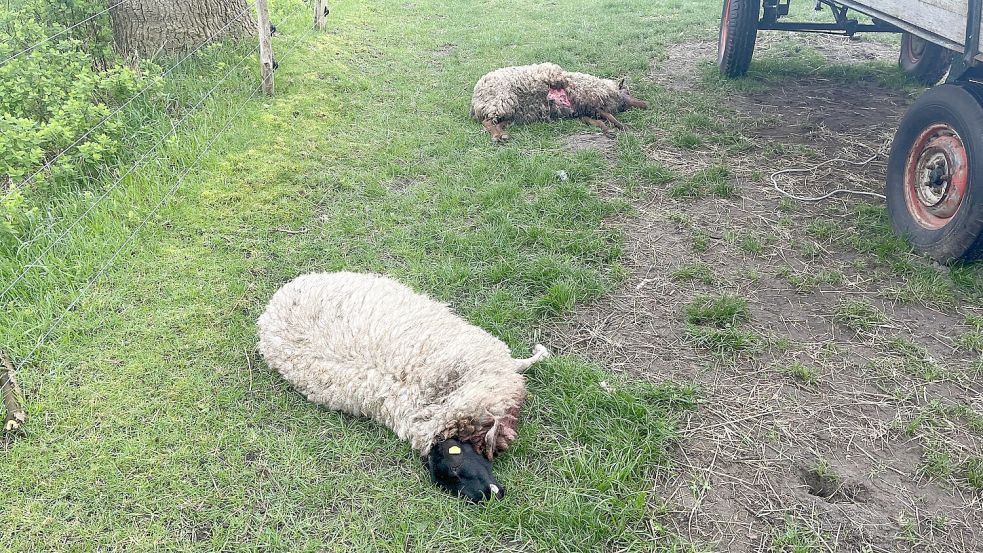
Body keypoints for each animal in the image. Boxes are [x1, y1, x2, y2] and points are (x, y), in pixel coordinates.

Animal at [254, 270, 548, 500]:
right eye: (452, 467)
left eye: (457, 461)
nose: (487, 497)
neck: (440, 396)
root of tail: (274, 303)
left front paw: (540, 353)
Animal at [468, 62, 644, 142]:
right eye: (627, 91)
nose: (645, 104)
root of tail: (475, 101)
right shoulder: (586, 103)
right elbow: (609, 116)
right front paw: (621, 127)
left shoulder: (583, 112)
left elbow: (603, 120)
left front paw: (612, 129)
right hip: (501, 103)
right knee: (487, 122)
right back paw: (497, 137)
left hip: (511, 113)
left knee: (495, 123)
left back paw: (502, 135)